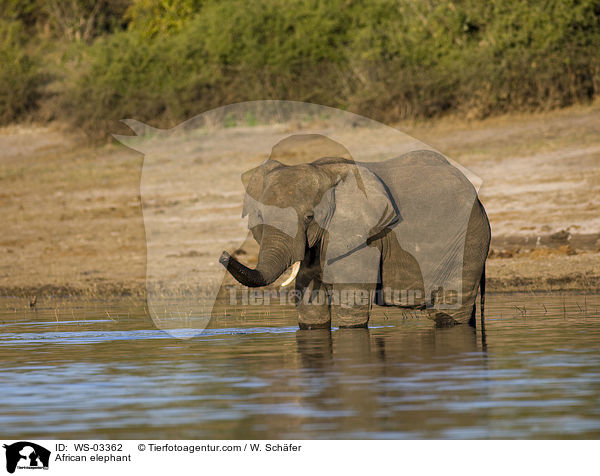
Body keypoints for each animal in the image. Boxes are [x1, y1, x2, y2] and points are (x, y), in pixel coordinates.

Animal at [218, 132, 490, 330]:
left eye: (309, 217)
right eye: (260, 217)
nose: (223, 254)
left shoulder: (363, 237)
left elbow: (350, 303)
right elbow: (309, 302)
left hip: (469, 238)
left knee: (451, 309)